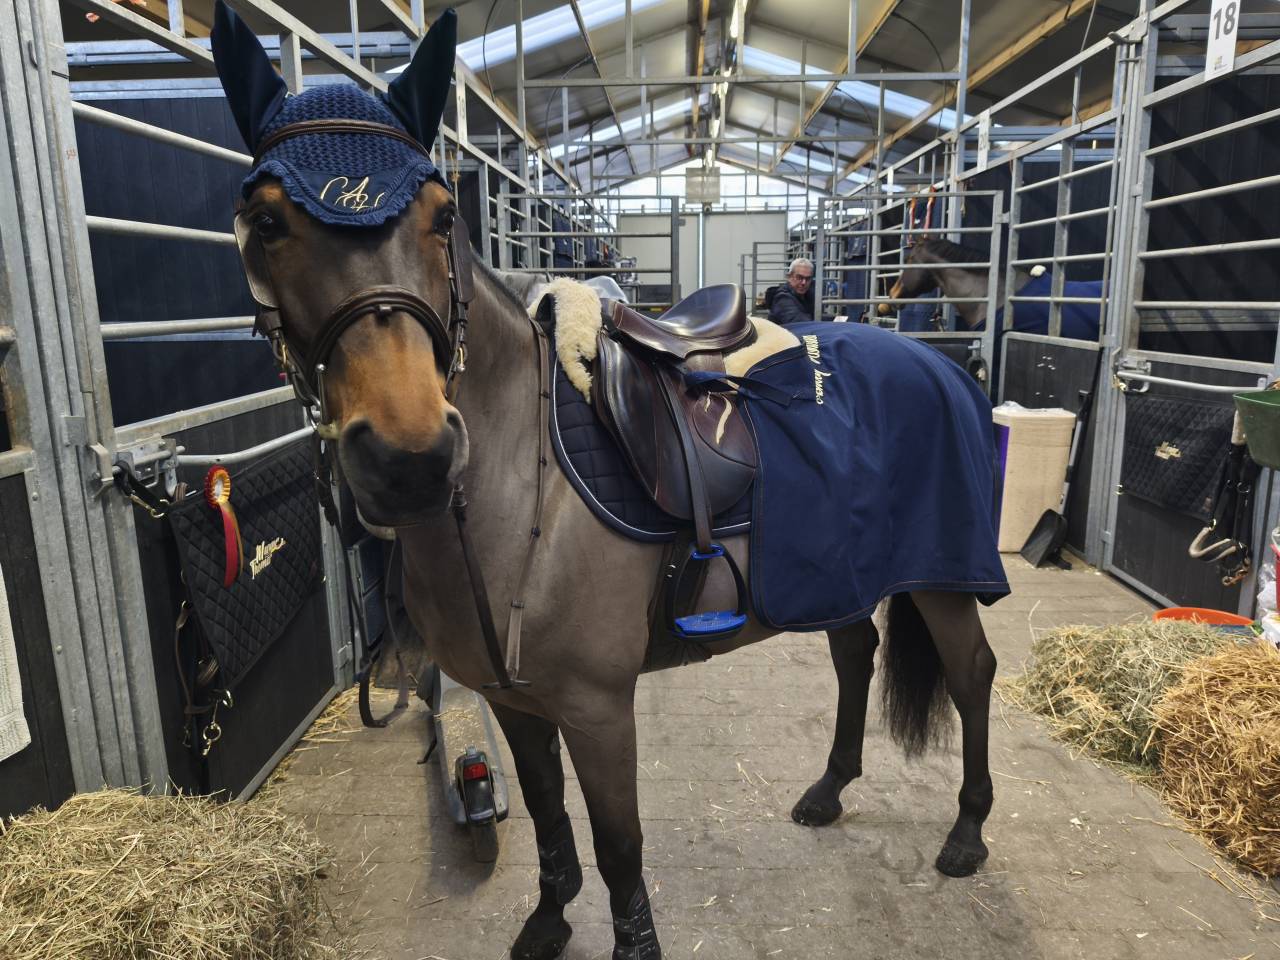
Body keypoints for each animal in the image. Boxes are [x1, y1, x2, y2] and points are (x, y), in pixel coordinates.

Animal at [210, 5, 1006, 958]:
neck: (524, 487)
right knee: (856, 655)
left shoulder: (596, 709)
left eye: (441, 217)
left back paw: (967, 833)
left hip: (942, 579)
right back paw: (828, 792)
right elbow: (549, 818)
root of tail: (941, 365)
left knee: (971, 673)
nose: (410, 457)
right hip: (833, 573)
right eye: (264, 221)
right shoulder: (515, 703)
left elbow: (619, 843)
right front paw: (549, 919)